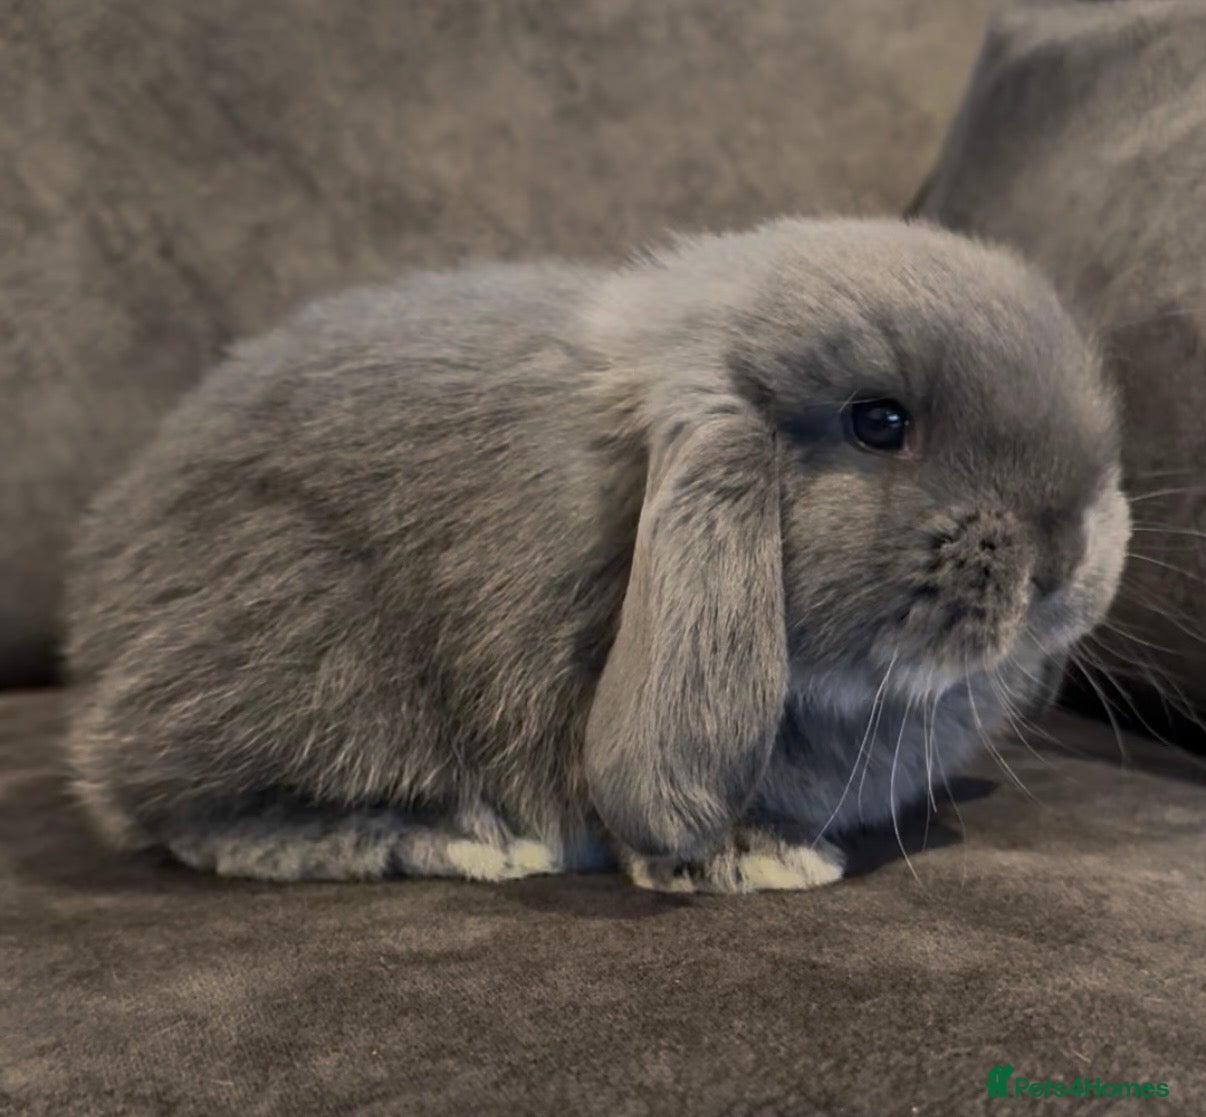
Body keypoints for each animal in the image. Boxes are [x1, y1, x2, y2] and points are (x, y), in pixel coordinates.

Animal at [63, 217, 1130, 893]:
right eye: (880, 422)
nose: (1066, 555)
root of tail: (97, 631)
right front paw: (745, 859)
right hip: (308, 654)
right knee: (198, 814)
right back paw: (460, 838)